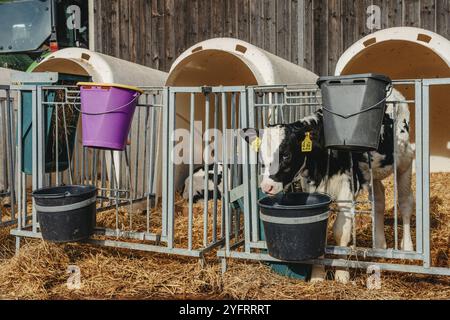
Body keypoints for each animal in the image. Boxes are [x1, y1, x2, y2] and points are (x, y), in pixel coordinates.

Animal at [243, 89, 414, 282]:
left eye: (286, 154)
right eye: (260, 156)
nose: (267, 186)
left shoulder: (348, 188)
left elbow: (340, 231)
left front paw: (342, 274)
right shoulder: (312, 188)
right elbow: (321, 234)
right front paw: (317, 275)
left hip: (405, 159)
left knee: (405, 202)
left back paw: (408, 249)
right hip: (373, 172)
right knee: (378, 200)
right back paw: (379, 245)